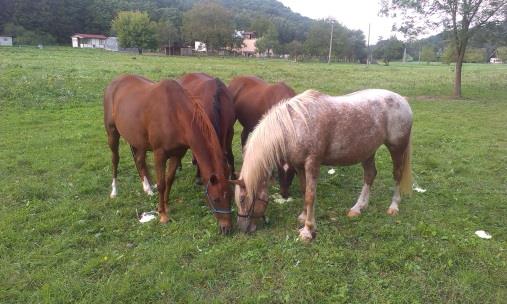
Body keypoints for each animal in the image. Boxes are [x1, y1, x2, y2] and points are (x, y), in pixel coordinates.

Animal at [103, 74, 234, 233]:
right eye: (215, 199)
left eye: (231, 197)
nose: (227, 229)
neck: (174, 113)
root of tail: (114, 82)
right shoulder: (159, 154)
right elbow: (161, 183)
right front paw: (162, 215)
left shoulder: (177, 154)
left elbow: (169, 180)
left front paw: (166, 206)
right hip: (112, 133)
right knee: (115, 159)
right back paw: (114, 191)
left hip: (137, 139)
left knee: (139, 160)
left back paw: (147, 188)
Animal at [232, 89, 414, 241]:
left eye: (242, 199)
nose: (242, 229)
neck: (295, 125)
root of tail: (403, 100)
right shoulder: (299, 166)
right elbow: (304, 190)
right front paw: (303, 216)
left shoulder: (312, 163)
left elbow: (310, 196)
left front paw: (307, 230)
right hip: (368, 151)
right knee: (370, 175)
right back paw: (358, 207)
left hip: (397, 148)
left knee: (397, 174)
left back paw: (393, 207)